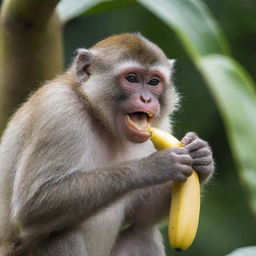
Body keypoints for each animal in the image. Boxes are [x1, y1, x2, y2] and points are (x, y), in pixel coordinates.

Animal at [0, 33, 214, 255]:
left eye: (154, 82)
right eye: (132, 78)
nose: (147, 99)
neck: (98, 116)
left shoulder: (162, 124)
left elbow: (142, 216)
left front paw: (203, 158)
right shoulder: (59, 111)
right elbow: (32, 206)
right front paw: (154, 167)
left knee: (143, 233)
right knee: (64, 235)